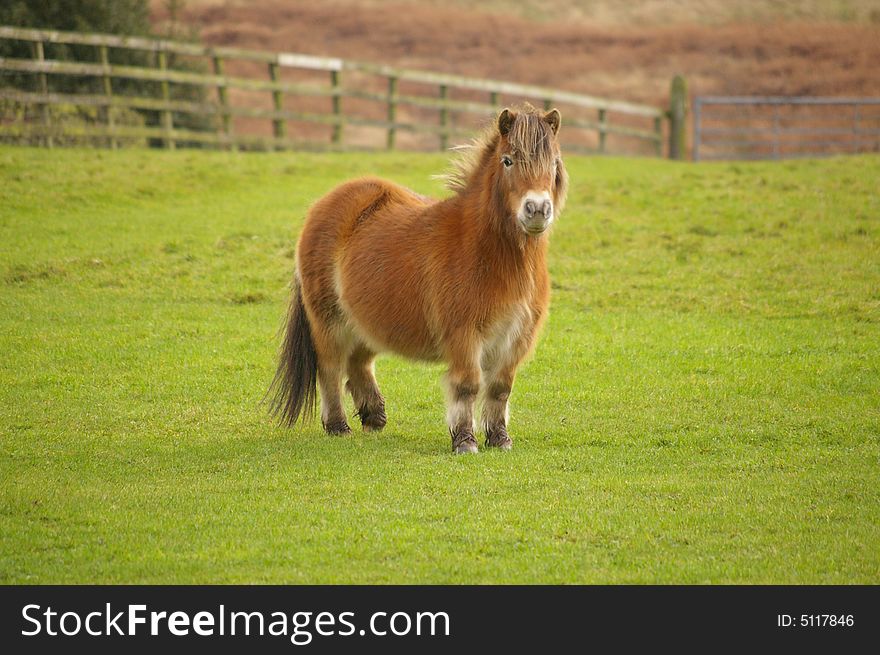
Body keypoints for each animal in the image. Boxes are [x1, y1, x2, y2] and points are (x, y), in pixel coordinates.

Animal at [270, 105, 572, 454]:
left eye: (554, 163)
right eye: (508, 160)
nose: (537, 209)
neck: (487, 252)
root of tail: (324, 203)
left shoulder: (516, 338)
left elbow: (500, 388)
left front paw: (500, 439)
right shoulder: (464, 335)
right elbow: (467, 385)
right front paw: (465, 442)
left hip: (365, 321)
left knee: (359, 363)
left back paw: (374, 417)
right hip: (328, 320)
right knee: (330, 368)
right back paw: (338, 427)